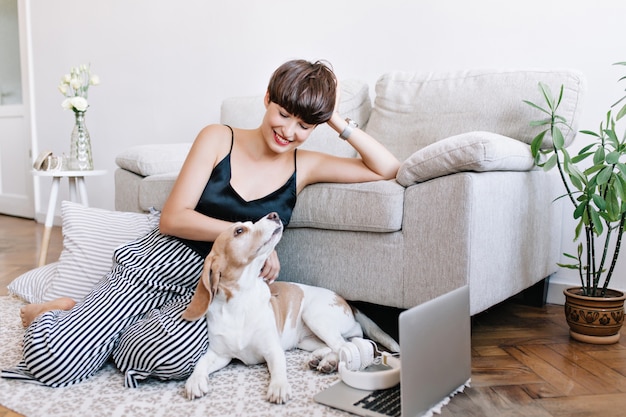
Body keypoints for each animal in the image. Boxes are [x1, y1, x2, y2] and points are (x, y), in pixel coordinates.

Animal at [180, 213, 398, 402]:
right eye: (239, 231)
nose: (274, 215)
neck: (239, 302)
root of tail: (348, 302)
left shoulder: (272, 350)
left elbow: (278, 369)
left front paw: (278, 386)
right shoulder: (219, 355)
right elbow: (201, 363)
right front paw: (194, 381)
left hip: (314, 316)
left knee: (344, 345)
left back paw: (329, 362)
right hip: (305, 340)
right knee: (340, 344)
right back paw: (322, 359)